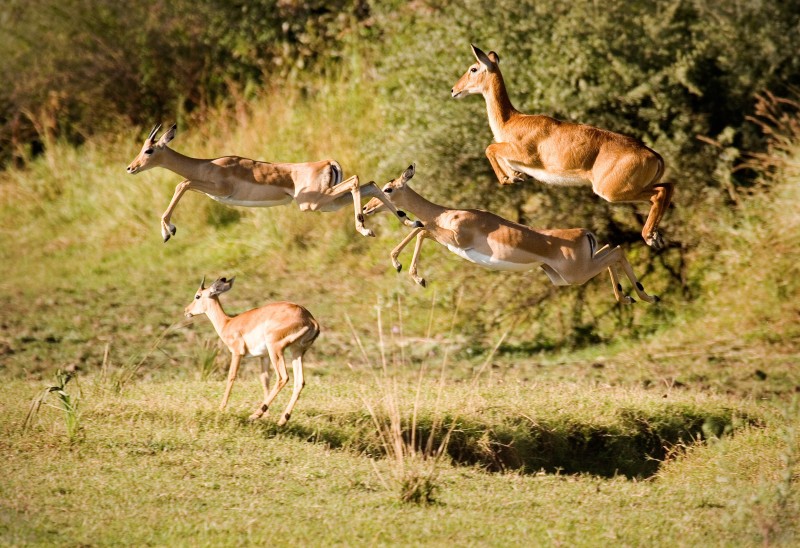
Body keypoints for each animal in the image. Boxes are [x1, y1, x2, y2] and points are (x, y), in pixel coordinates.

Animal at [125, 125, 418, 243]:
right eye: (141, 147)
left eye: (149, 150)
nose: (131, 167)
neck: (208, 164)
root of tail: (327, 162)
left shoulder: (218, 190)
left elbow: (182, 184)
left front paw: (168, 231)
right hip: (329, 204)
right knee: (369, 183)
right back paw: (410, 221)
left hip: (313, 203)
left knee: (357, 181)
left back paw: (365, 229)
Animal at [184, 276, 318, 426]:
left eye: (197, 296)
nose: (186, 310)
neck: (228, 323)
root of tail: (310, 319)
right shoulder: (263, 356)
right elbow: (265, 380)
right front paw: (267, 415)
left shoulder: (237, 353)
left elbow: (231, 376)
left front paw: (221, 408)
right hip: (296, 351)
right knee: (299, 382)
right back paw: (282, 419)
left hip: (276, 349)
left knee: (283, 377)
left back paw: (254, 415)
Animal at [366, 165, 660, 306]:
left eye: (388, 189)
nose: (367, 208)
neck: (447, 213)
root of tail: (584, 233)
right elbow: (420, 229)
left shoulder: (455, 239)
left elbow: (420, 229)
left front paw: (414, 275)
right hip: (566, 275)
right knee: (614, 249)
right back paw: (636, 297)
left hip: (576, 274)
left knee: (618, 251)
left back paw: (643, 296)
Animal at [454, 44, 672, 248]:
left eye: (473, 68)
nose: (454, 90)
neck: (510, 121)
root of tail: (653, 155)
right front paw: (515, 175)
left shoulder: (524, 154)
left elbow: (489, 148)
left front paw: (510, 178)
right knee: (667, 187)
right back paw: (656, 236)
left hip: (612, 191)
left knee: (660, 193)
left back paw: (649, 237)